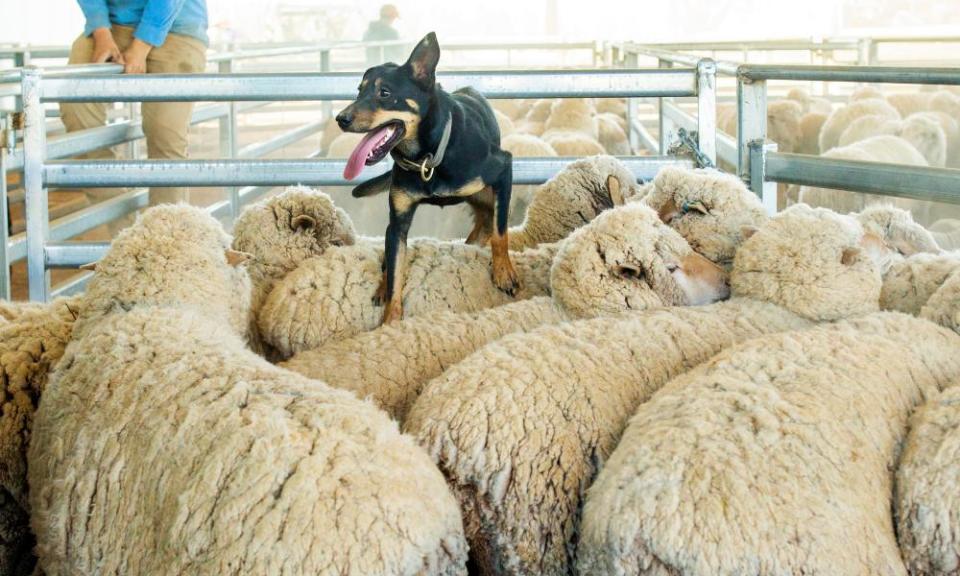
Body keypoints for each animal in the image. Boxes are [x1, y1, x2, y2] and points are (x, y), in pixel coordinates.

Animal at [336, 32, 516, 324]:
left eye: (385, 93)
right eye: (359, 91)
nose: (341, 118)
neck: (427, 157)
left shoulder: (503, 168)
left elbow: (501, 233)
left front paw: (503, 272)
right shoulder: (397, 223)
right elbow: (395, 274)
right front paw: (390, 321)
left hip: (488, 195)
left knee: (489, 221)